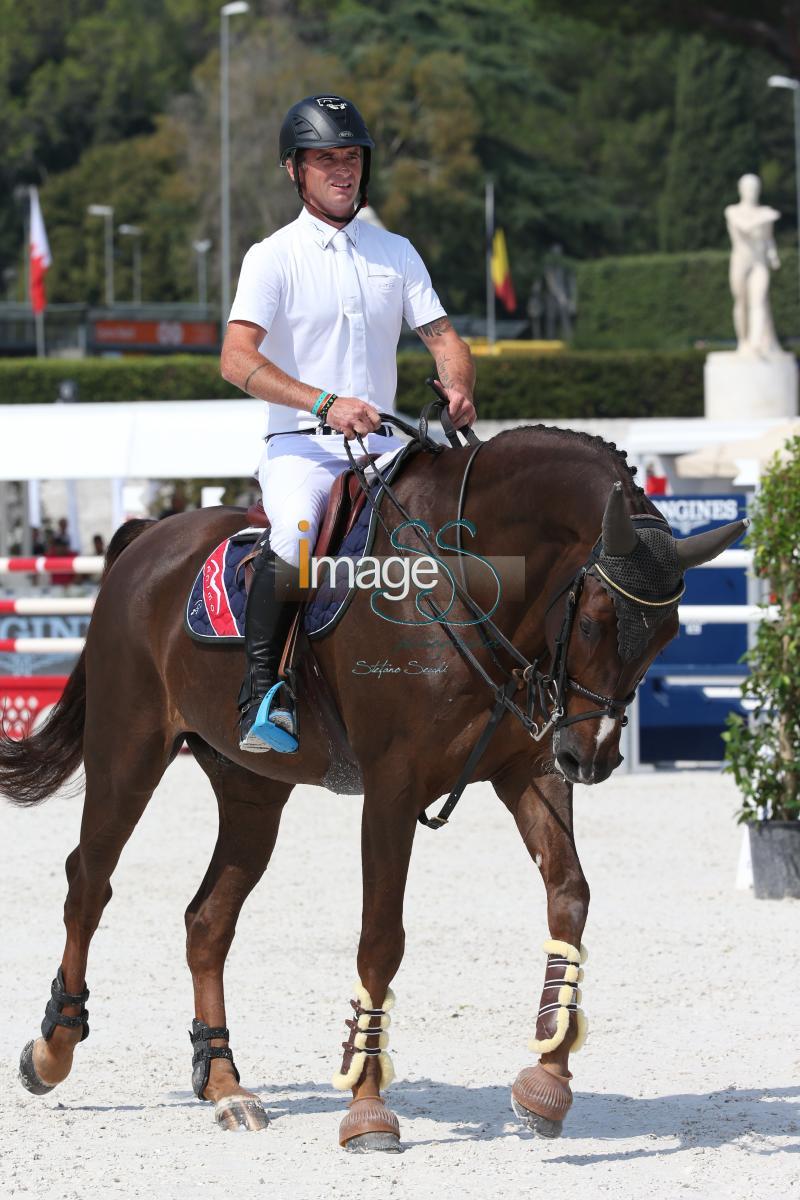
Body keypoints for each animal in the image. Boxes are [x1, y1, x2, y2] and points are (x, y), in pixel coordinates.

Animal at [0, 427, 743, 1147]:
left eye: (668, 635)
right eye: (591, 620)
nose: (590, 758)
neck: (467, 580)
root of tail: (150, 536)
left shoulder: (525, 773)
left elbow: (570, 898)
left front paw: (546, 1081)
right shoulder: (392, 786)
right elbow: (381, 938)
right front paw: (366, 1109)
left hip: (251, 792)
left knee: (207, 921)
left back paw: (225, 1086)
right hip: (128, 753)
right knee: (89, 882)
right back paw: (53, 1050)